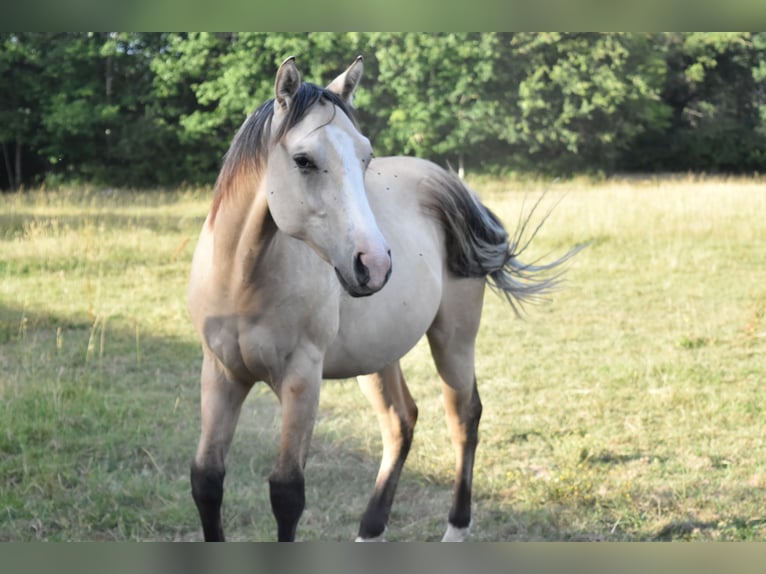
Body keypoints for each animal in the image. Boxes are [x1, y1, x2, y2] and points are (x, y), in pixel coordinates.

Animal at [187, 55, 581, 542]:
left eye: (366, 157)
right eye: (303, 160)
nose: (373, 264)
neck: (242, 281)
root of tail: (449, 184)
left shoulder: (301, 379)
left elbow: (286, 492)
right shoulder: (220, 373)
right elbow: (207, 481)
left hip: (453, 339)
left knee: (463, 416)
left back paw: (456, 528)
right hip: (377, 355)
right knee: (401, 421)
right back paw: (370, 530)